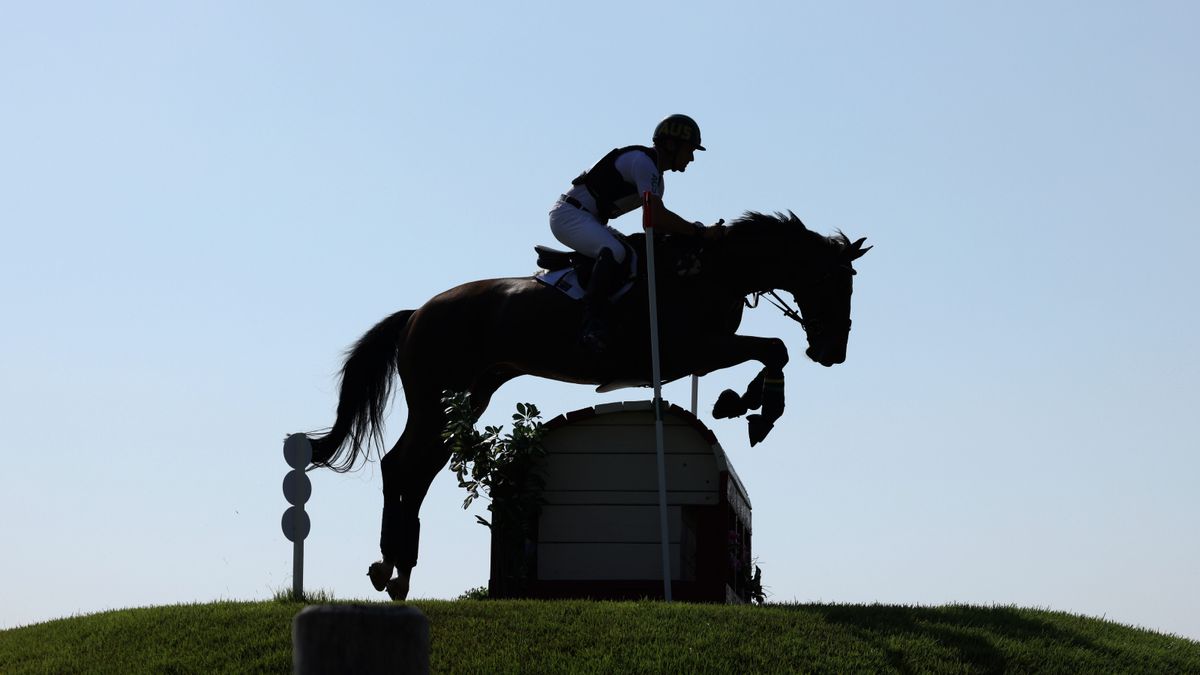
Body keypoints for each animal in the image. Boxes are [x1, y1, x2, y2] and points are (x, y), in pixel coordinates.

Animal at [298, 211, 864, 598]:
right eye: (834, 283)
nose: (832, 351)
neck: (710, 271)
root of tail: (417, 313)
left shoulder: (700, 352)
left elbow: (771, 351)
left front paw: (742, 403)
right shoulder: (693, 348)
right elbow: (773, 348)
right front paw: (753, 408)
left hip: (467, 399)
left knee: (417, 471)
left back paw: (398, 572)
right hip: (440, 399)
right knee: (401, 467)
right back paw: (389, 565)